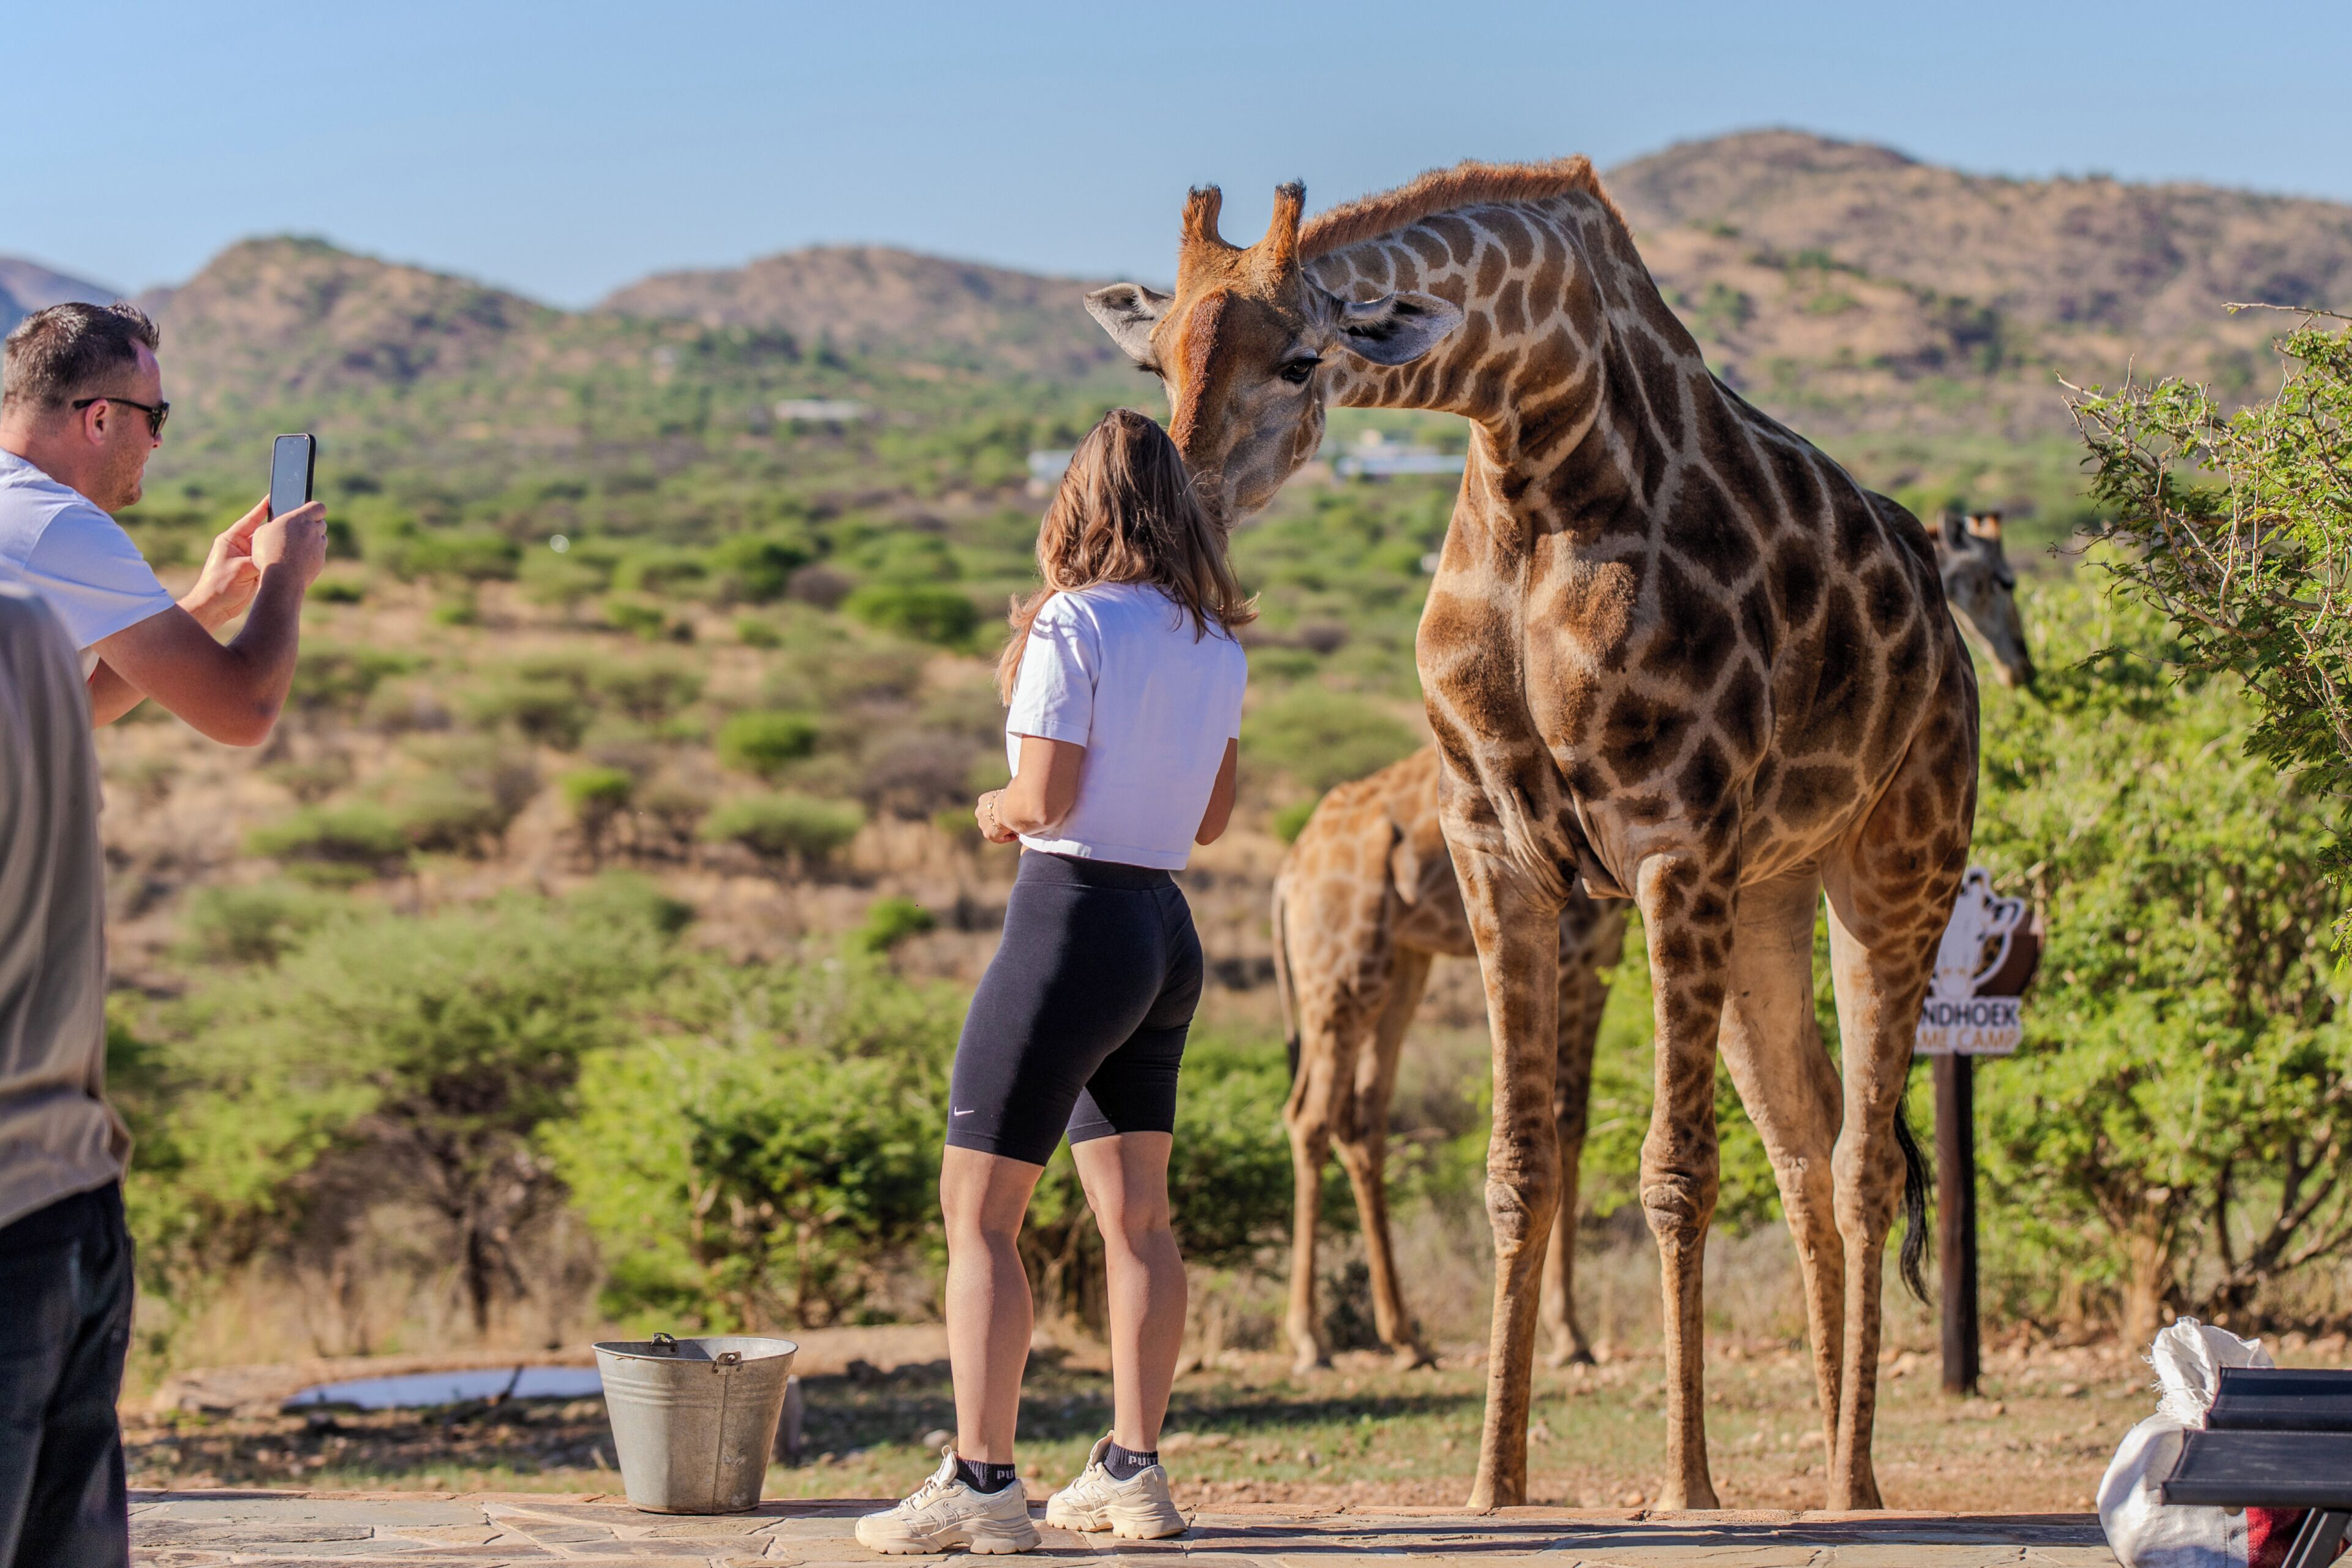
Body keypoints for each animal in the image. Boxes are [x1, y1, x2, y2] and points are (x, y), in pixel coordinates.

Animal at [1273, 550, 2030, 1381]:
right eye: (1994, 582)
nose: (2017, 662)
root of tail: (1289, 875)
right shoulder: (1585, 945)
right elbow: (1567, 1117)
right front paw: (1567, 1334)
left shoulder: (1597, 949)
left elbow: (1570, 1116)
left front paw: (1567, 1331)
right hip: (1344, 971)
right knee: (1313, 1116)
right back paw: (1311, 1340)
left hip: (1399, 970)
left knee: (1360, 1120)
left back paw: (1404, 1336)